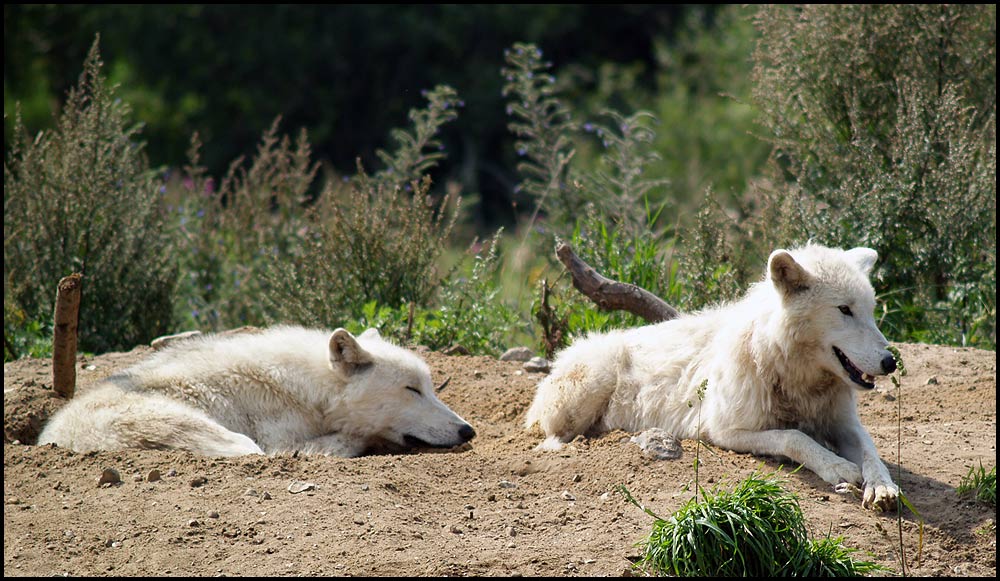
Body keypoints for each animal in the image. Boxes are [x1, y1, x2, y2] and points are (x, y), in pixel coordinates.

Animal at [39, 324, 476, 456]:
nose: (468, 430)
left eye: (431, 388)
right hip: (229, 439)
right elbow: (346, 440)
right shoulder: (279, 442)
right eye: (411, 390)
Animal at [528, 242, 904, 510]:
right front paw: (837, 467)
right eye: (844, 310)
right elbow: (794, 437)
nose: (890, 362)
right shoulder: (725, 430)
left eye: (871, 311)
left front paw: (882, 486)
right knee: (551, 435)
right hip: (590, 387)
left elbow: (871, 452)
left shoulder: (844, 423)